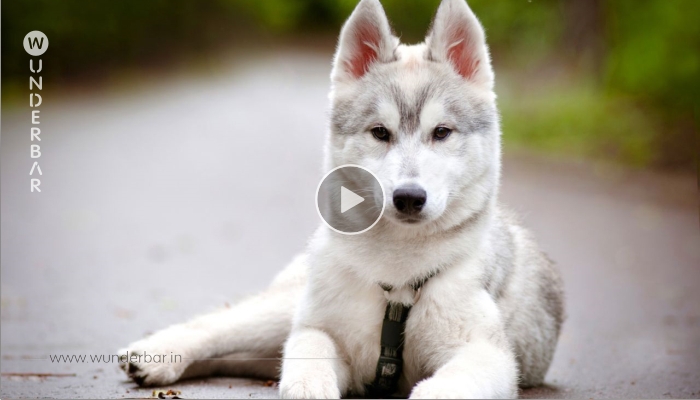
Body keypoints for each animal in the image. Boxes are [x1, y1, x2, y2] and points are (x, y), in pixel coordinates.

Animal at [119, 0, 564, 396]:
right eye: (380, 132)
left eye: (441, 132)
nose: (408, 197)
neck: (398, 274)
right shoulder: (321, 330)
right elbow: (307, 352)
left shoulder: (487, 354)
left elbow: (444, 386)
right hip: (286, 305)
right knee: (222, 325)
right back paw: (158, 353)